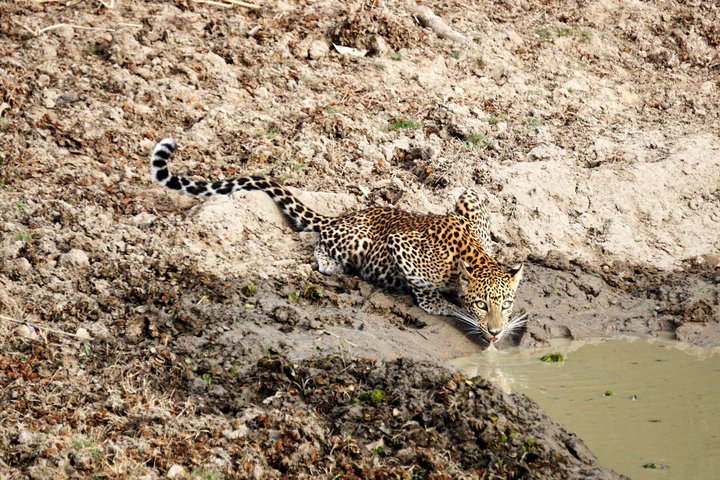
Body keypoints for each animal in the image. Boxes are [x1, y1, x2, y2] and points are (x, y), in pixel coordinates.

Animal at [151, 138, 526, 344]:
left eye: (506, 304)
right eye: (482, 305)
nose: (495, 332)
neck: (472, 255)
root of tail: (342, 216)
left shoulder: (469, 197)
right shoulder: (402, 243)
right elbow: (424, 292)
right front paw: (443, 304)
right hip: (355, 240)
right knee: (320, 242)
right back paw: (332, 265)